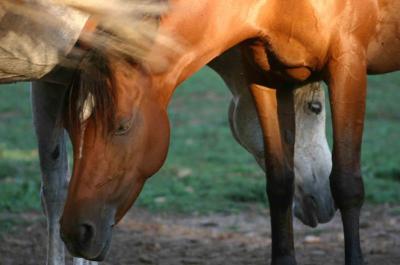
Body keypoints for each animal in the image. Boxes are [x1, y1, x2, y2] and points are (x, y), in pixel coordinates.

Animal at [57, 0, 400, 264]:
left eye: (122, 125)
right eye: (69, 128)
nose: (75, 233)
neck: (280, 7)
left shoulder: (348, 67)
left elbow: (347, 184)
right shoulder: (264, 78)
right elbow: (279, 183)